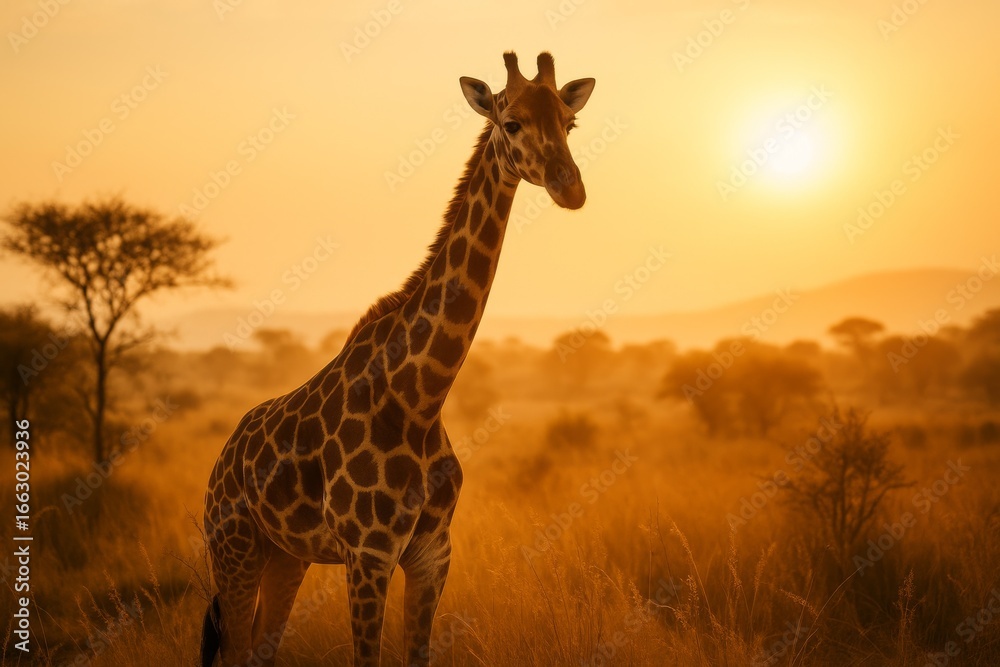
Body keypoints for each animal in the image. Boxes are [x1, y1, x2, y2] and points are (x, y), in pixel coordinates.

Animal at [201, 51, 595, 667]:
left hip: (286, 555)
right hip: (233, 548)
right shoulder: (368, 555)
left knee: (262, 648)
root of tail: (221, 461)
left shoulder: (433, 554)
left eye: (569, 123)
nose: (569, 187)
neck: (421, 398)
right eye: (511, 124)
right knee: (235, 649)